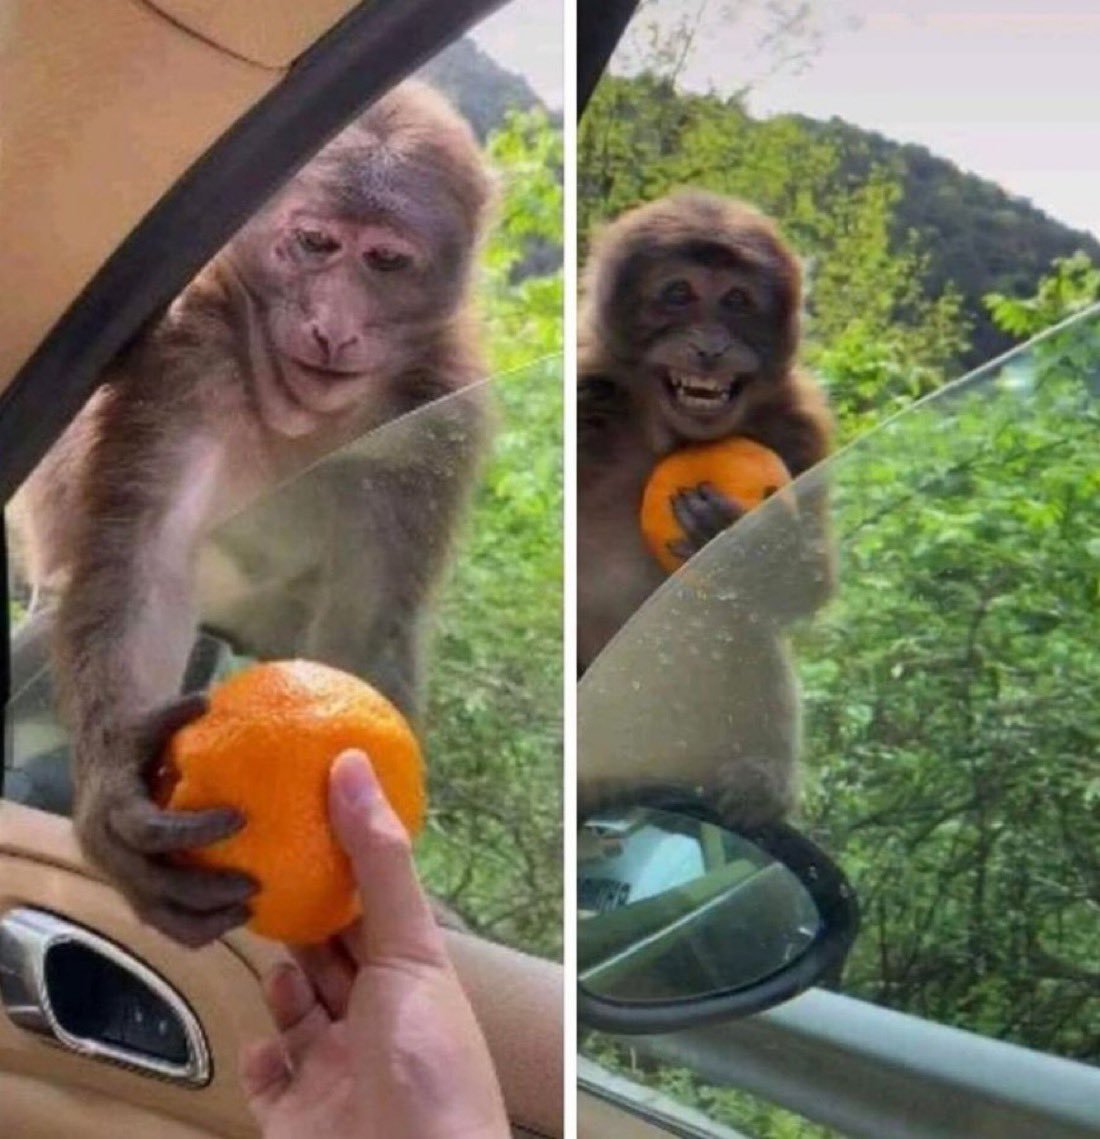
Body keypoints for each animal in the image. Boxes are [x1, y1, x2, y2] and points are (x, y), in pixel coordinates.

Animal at [9, 82, 493, 948]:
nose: (333, 324)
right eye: (315, 242)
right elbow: (149, 560)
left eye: (385, 260)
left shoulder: (436, 423)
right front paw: (116, 790)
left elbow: (367, 624)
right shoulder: (188, 359)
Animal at [577, 190, 834, 830]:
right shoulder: (588, 388)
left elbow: (808, 585)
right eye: (679, 293)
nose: (711, 347)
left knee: (742, 618)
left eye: (737, 300)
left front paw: (747, 539)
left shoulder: (800, 426)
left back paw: (755, 784)